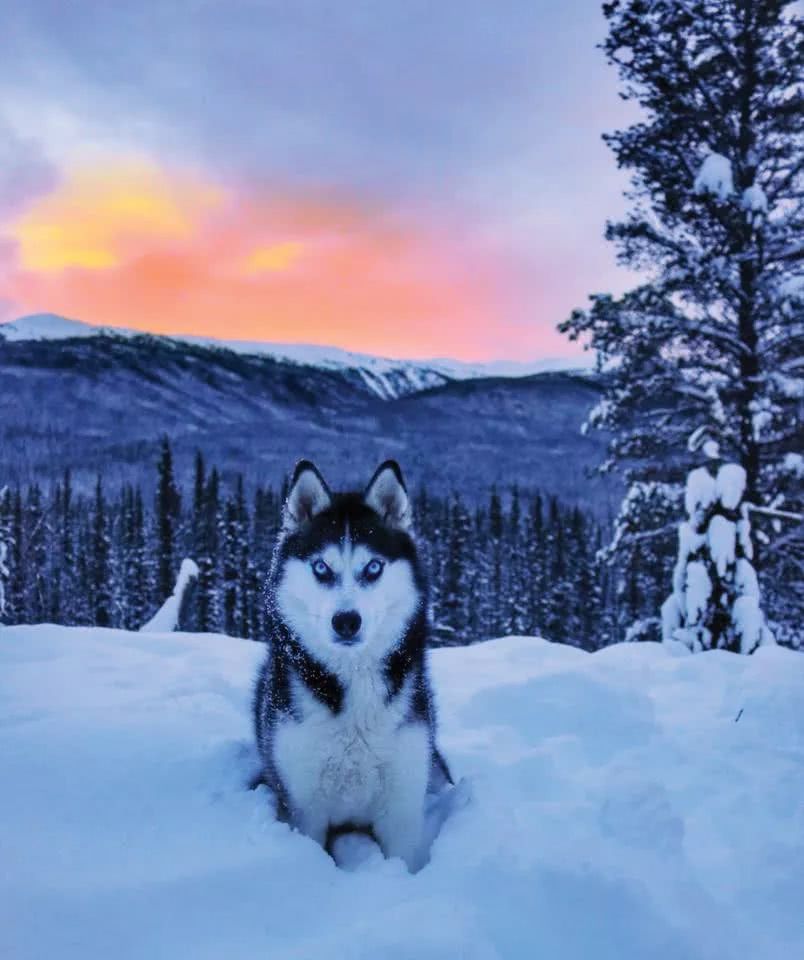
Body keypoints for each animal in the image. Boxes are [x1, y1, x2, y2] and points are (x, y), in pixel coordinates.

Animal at [253, 458, 452, 872]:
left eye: (373, 567)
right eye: (321, 568)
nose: (346, 621)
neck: (354, 682)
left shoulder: (402, 807)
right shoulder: (304, 807)